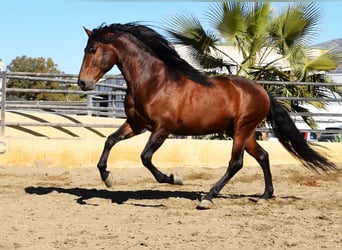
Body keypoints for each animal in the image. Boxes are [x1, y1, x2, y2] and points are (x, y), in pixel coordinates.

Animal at [77, 22, 334, 209]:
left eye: (92, 50)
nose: (82, 83)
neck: (153, 82)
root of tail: (263, 91)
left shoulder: (162, 129)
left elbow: (145, 157)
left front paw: (174, 178)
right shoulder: (136, 124)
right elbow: (110, 141)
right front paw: (107, 178)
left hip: (242, 130)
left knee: (236, 163)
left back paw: (207, 198)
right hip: (244, 132)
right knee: (263, 156)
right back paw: (264, 196)